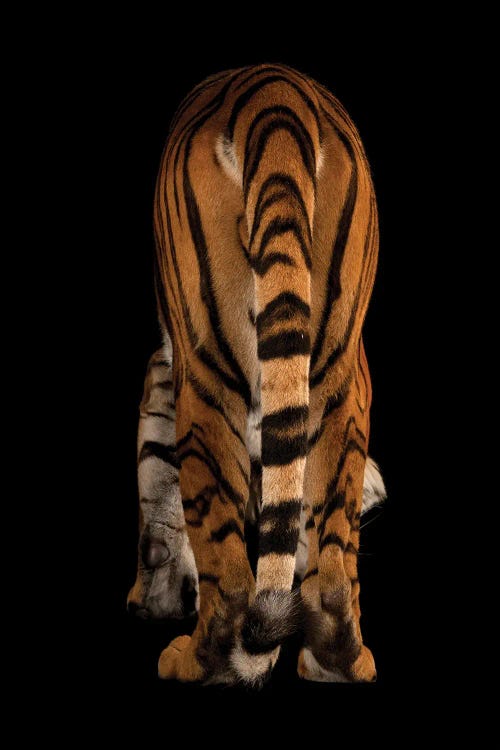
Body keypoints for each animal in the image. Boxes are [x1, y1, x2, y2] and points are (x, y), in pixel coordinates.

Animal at [126, 64, 386, 688]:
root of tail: (275, 95)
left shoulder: (167, 375)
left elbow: (157, 479)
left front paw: (155, 593)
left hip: (206, 377)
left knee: (233, 583)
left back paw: (192, 661)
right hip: (342, 372)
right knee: (332, 573)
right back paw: (337, 661)